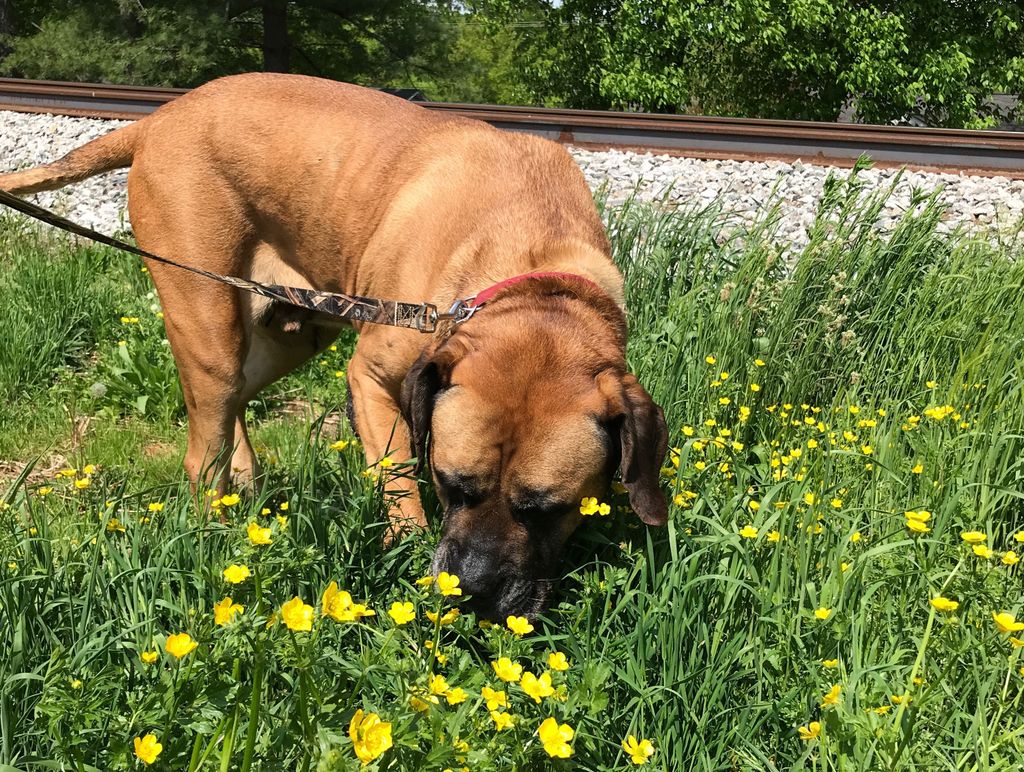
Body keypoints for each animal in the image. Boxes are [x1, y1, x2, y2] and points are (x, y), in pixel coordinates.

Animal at [0, 70, 667, 614]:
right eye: (451, 485)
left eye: (547, 511)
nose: (473, 591)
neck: (534, 270)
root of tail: (159, 117)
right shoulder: (371, 378)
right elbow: (396, 476)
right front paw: (408, 549)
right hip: (207, 319)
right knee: (203, 444)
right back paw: (213, 533)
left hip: (290, 334)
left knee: (237, 403)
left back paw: (247, 489)